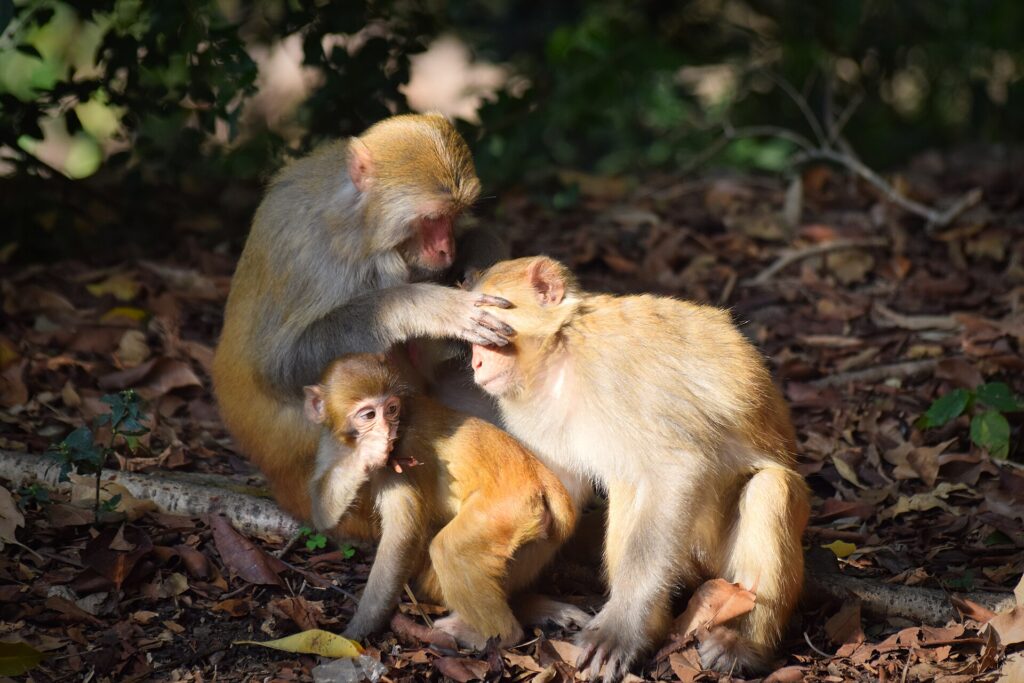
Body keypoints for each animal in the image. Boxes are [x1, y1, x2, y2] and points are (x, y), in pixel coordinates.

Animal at [212, 114, 515, 529]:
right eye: (432, 218)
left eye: (454, 216)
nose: (446, 249)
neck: (359, 225)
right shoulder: (312, 255)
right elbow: (280, 367)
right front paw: (423, 305)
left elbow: (481, 234)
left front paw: (476, 269)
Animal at [304, 353, 587, 647]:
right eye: (369, 415)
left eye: (391, 409)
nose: (386, 430)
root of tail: (540, 474)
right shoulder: (331, 442)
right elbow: (321, 512)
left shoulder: (403, 451)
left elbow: (400, 538)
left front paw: (358, 631)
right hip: (538, 534)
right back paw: (530, 607)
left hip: (508, 508)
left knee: (450, 550)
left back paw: (496, 634)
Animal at [468, 256, 810, 678]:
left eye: (489, 333)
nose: (476, 362)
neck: (561, 356)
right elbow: (552, 498)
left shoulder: (616, 374)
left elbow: (676, 468)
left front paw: (619, 629)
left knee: (769, 488)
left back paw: (742, 644)